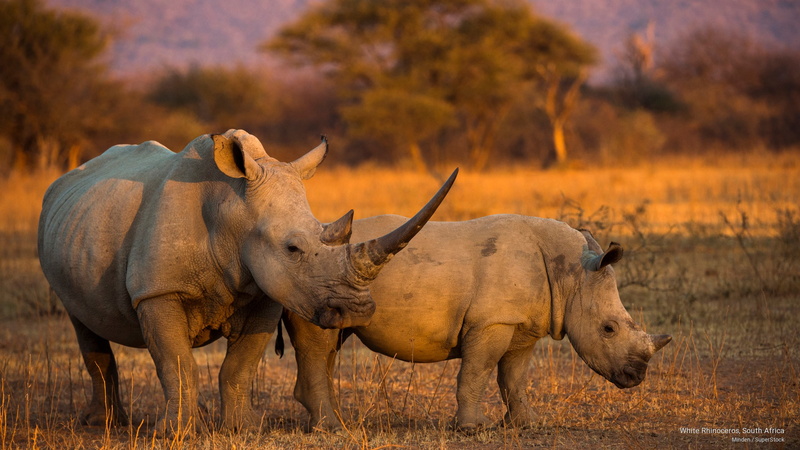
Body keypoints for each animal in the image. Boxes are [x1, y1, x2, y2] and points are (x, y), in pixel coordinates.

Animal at [37, 130, 457, 434]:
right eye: (292, 248)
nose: (358, 311)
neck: (234, 213)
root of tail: (66, 179)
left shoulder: (267, 291)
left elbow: (240, 365)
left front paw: (244, 429)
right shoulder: (157, 291)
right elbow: (176, 362)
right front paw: (175, 433)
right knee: (83, 323)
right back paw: (102, 425)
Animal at [282, 214, 672, 431]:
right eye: (609, 329)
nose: (636, 377)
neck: (572, 274)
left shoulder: (519, 322)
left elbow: (514, 376)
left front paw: (528, 425)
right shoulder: (491, 322)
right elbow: (477, 371)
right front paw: (473, 428)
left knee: (330, 343)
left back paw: (330, 421)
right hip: (311, 282)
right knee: (319, 345)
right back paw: (332, 428)